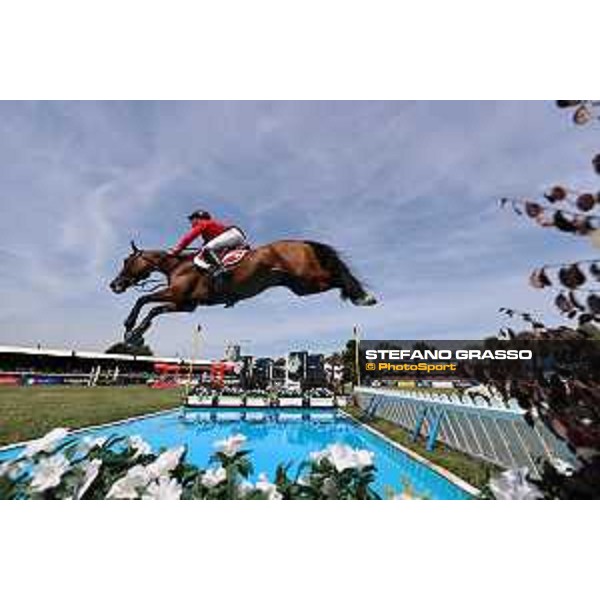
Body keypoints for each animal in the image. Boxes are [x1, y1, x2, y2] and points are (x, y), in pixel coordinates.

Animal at [109, 239, 376, 342]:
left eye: (126, 261)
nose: (114, 285)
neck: (177, 266)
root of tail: (303, 242)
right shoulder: (185, 304)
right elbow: (154, 310)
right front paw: (137, 333)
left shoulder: (176, 295)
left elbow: (143, 299)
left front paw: (130, 328)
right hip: (301, 286)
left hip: (309, 278)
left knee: (337, 276)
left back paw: (364, 297)